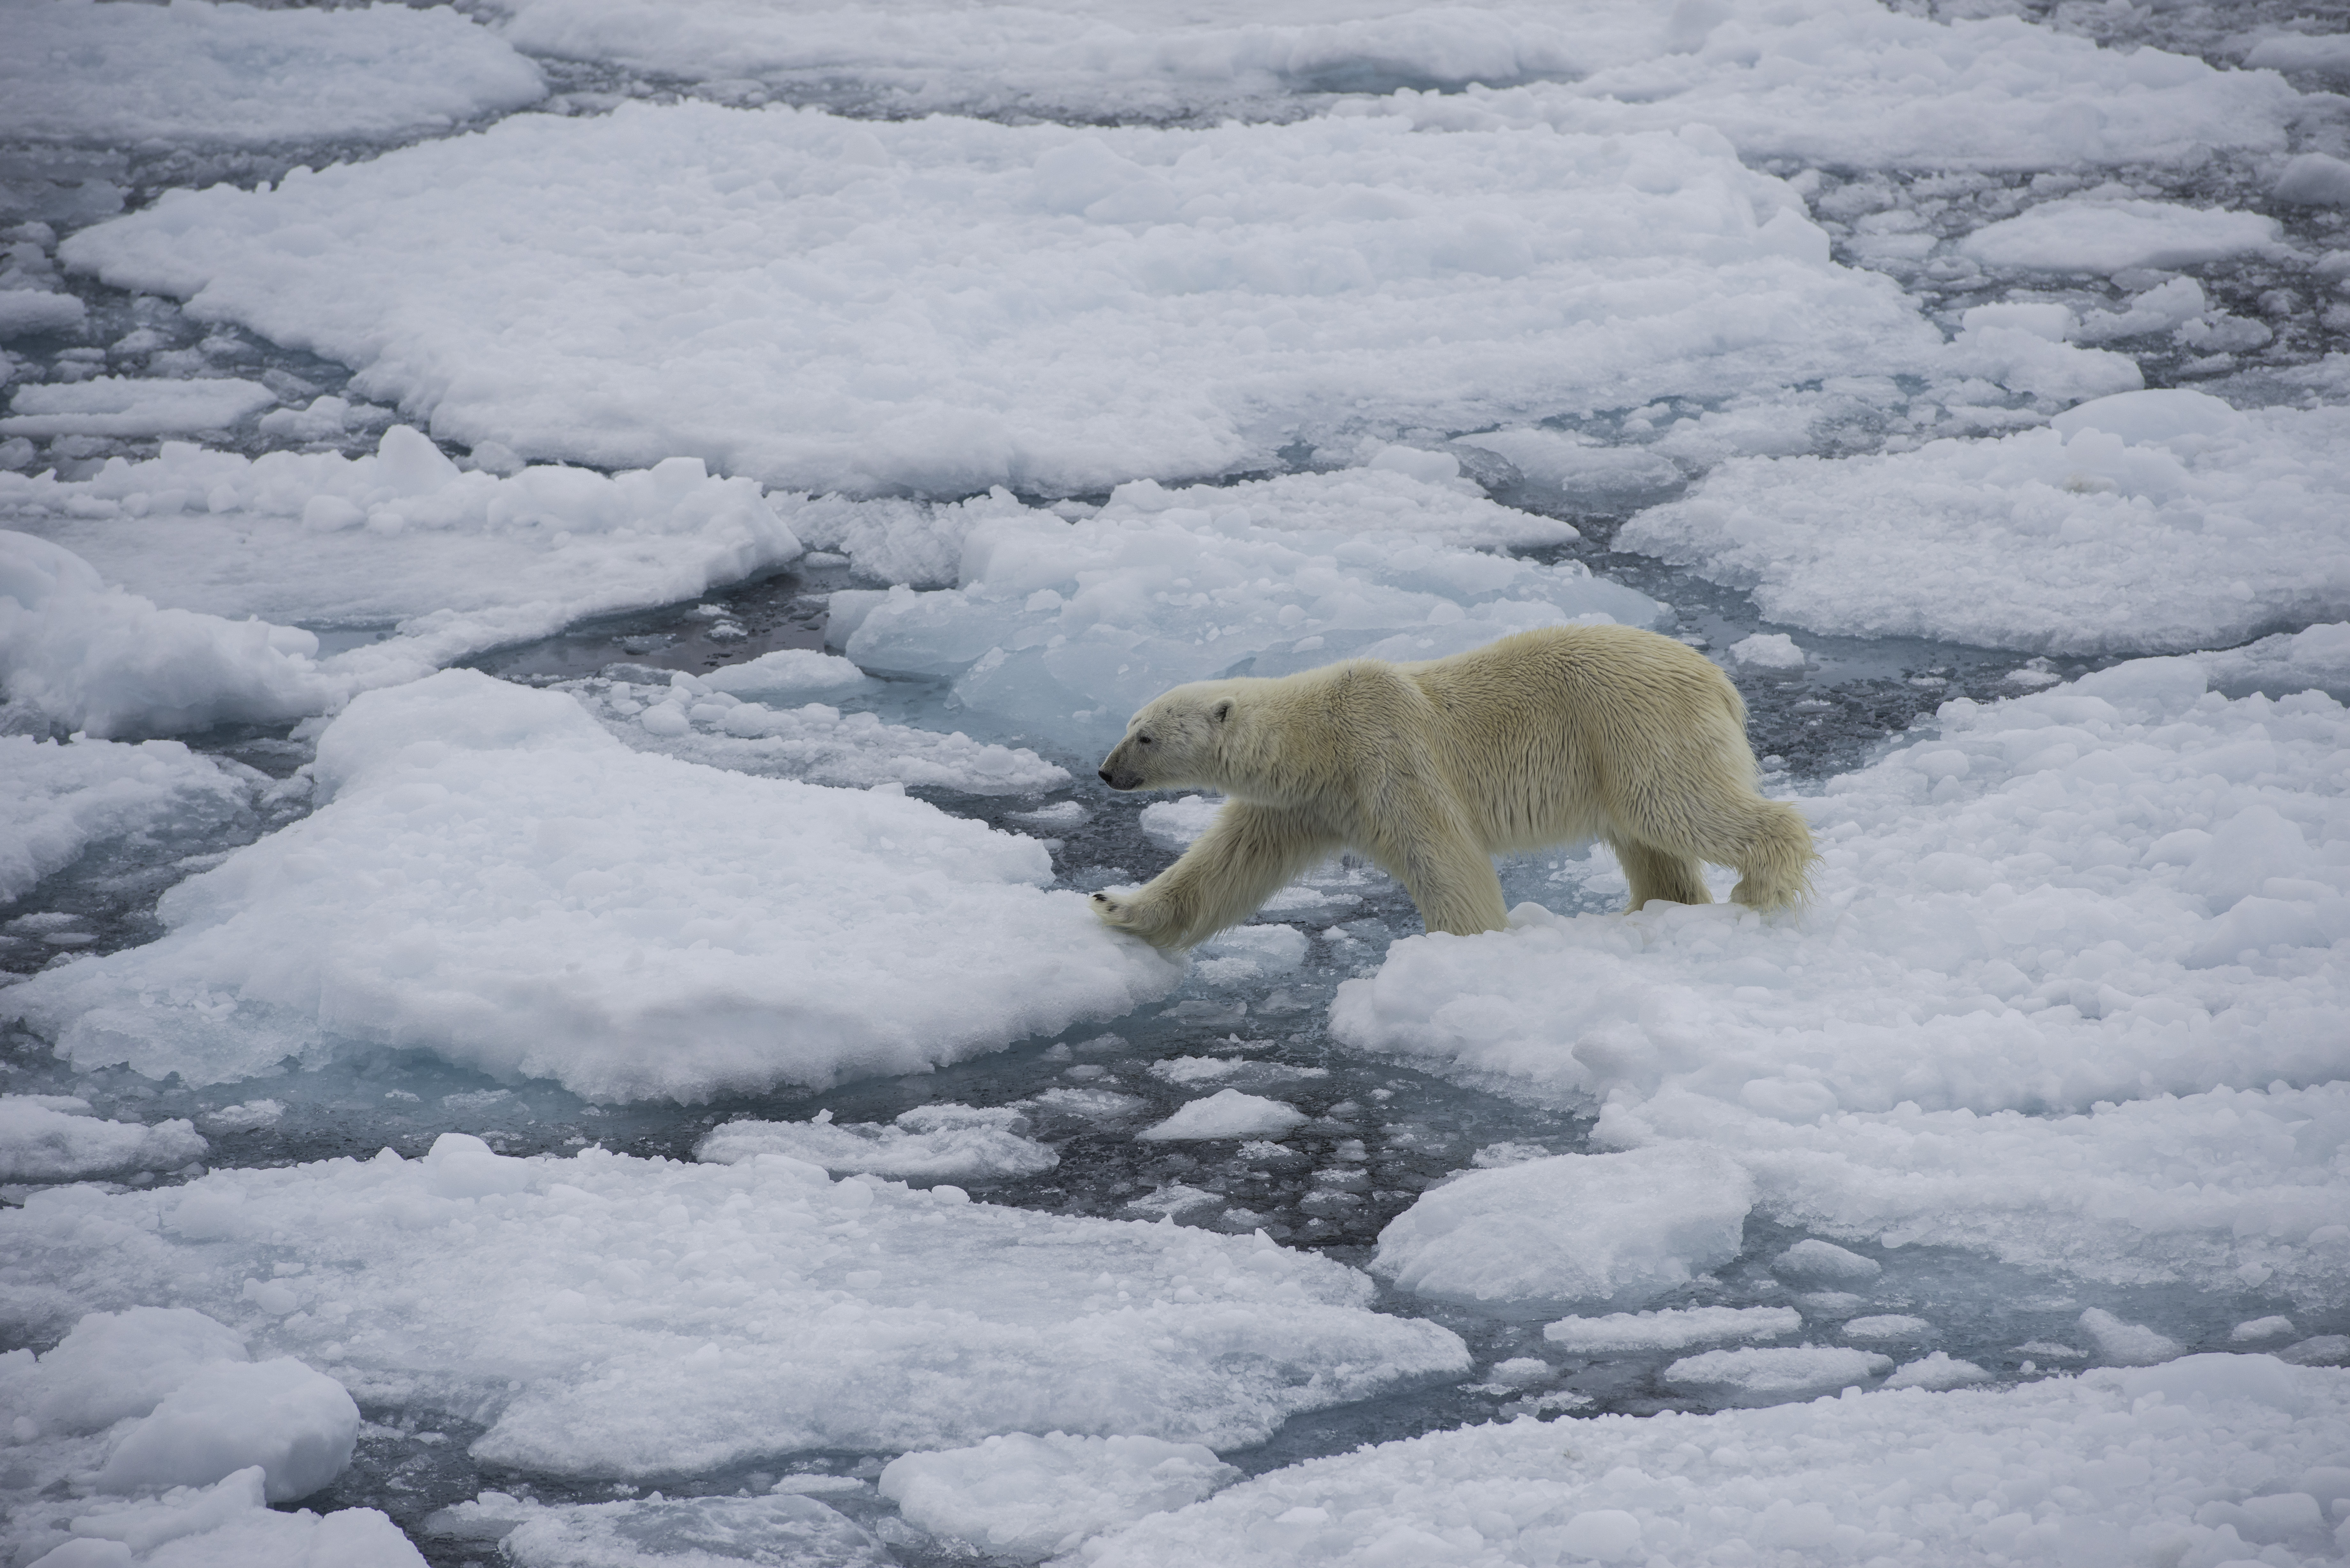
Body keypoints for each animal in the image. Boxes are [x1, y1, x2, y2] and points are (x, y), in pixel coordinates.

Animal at [1089, 624, 1814, 950]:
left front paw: (1458, 948)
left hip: (1634, 725)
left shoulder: (1388, 759)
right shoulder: (1305, 802)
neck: (1319, 735)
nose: (1105, 771)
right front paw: (1115, 904)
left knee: (1674, 806)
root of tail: (1718, 679)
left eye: (1145, 735)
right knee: (1649, 843)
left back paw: (1759, 887)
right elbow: (1225, 867)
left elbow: (1445, 860)